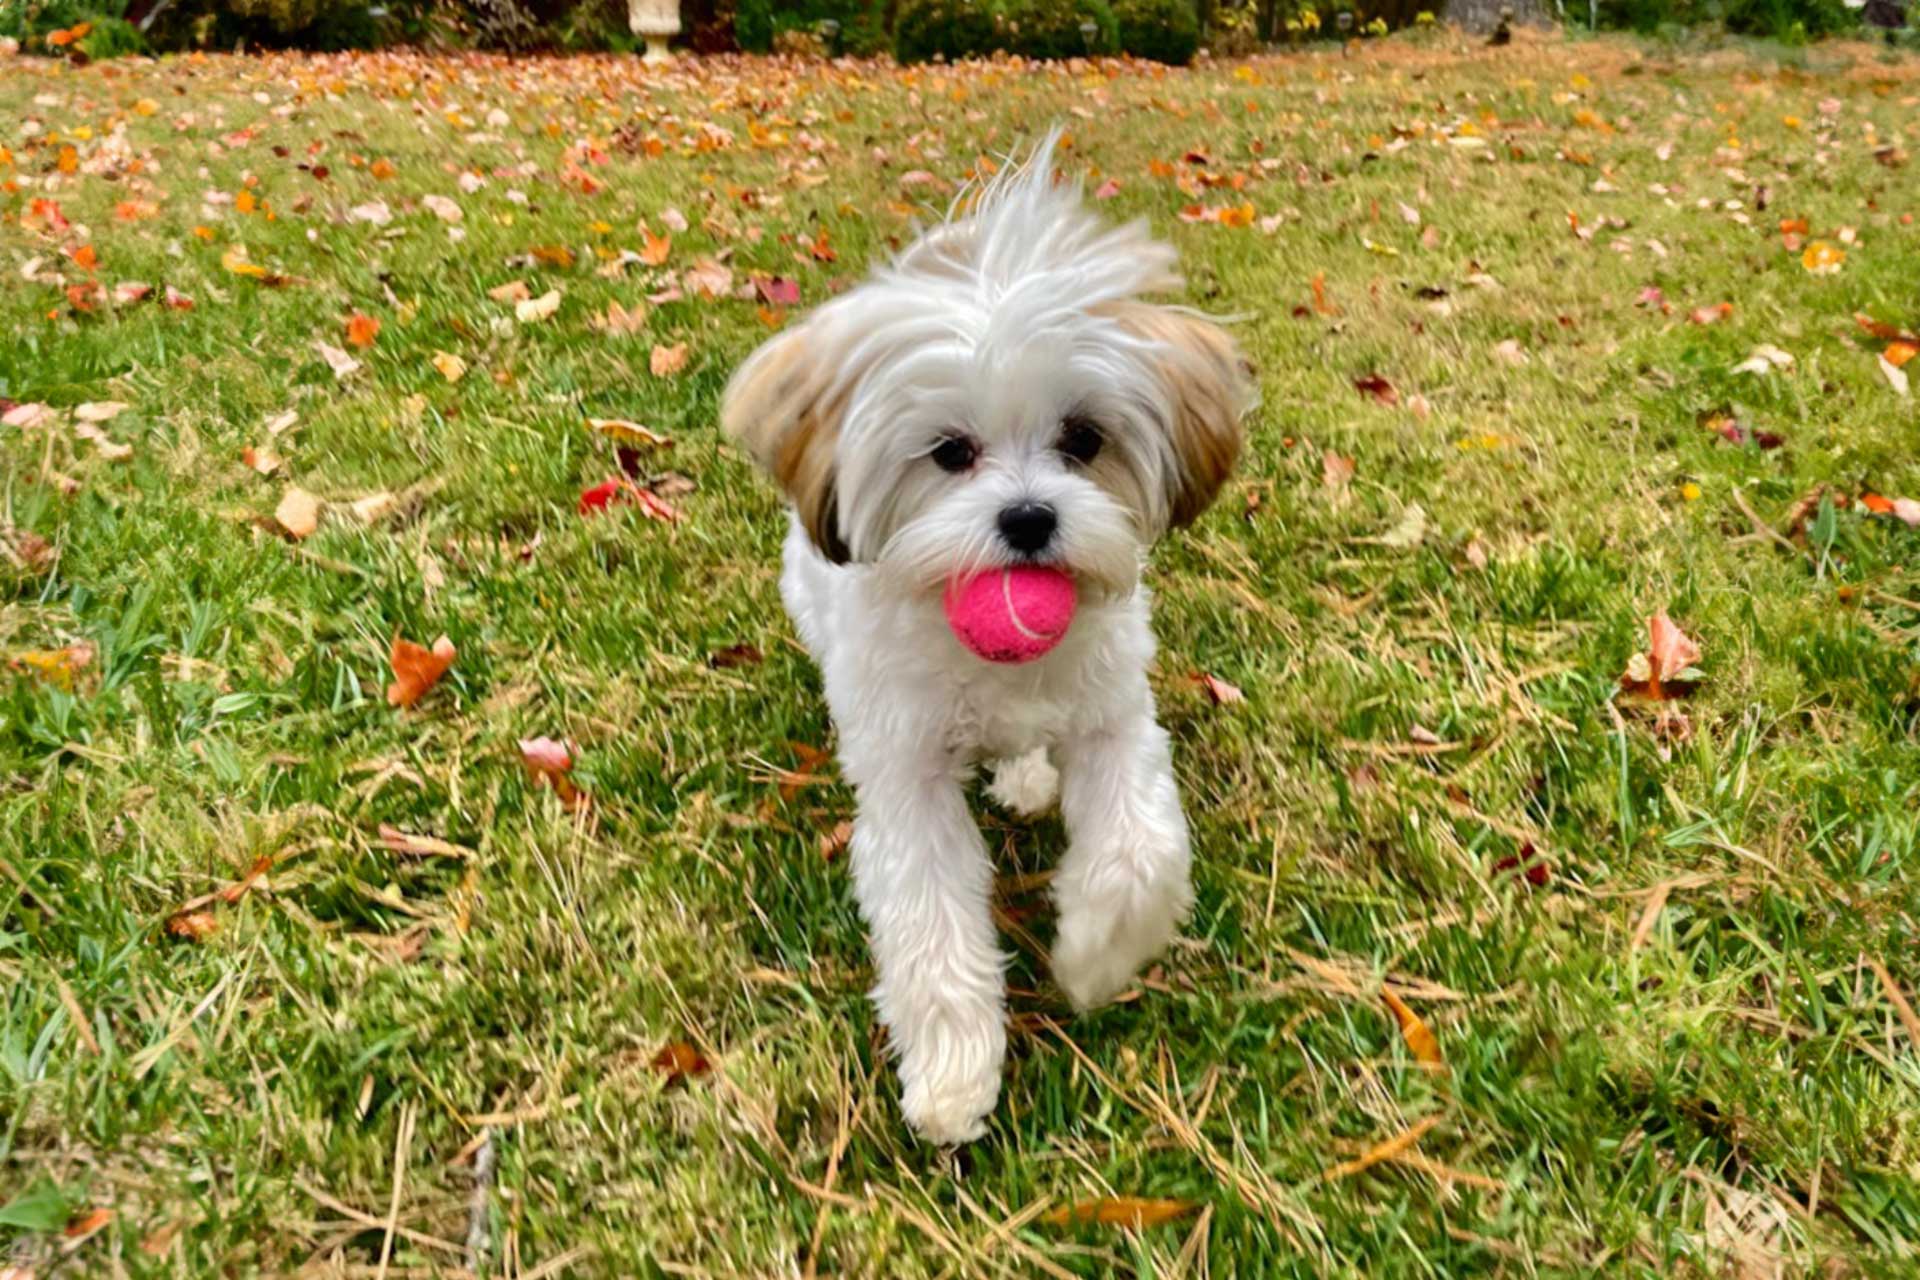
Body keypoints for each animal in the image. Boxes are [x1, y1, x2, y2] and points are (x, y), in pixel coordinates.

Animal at [721, 135, 1259, 1143]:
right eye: (949, 453)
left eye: (1083, 438)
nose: (1029, 517)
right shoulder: (909, 780)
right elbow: (931, 922)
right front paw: (953, 1073)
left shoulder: (1115, 721)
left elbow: (1139, 852)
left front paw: (1092, 956)